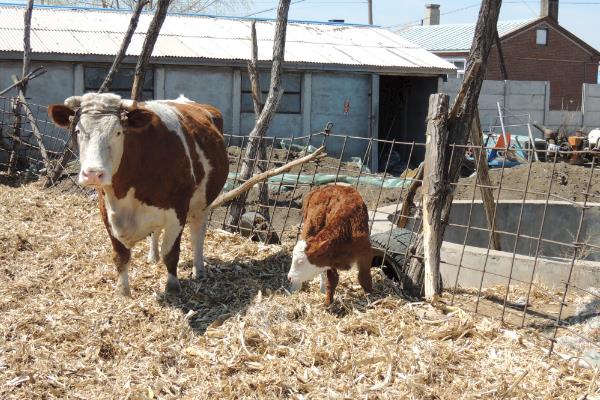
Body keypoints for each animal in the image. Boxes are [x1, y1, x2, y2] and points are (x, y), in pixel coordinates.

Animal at [47, 93, 227, 294]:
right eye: (78, 131)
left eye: (118, 132)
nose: (93, 173)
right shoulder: (106, 211)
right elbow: (120, 255)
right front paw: (123, 291)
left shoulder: (178, 210)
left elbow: (171, 252)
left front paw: (172, 286)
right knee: (157, 231)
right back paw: (153, 257)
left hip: (203, 203)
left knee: (197, 233)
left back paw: (199, 269)